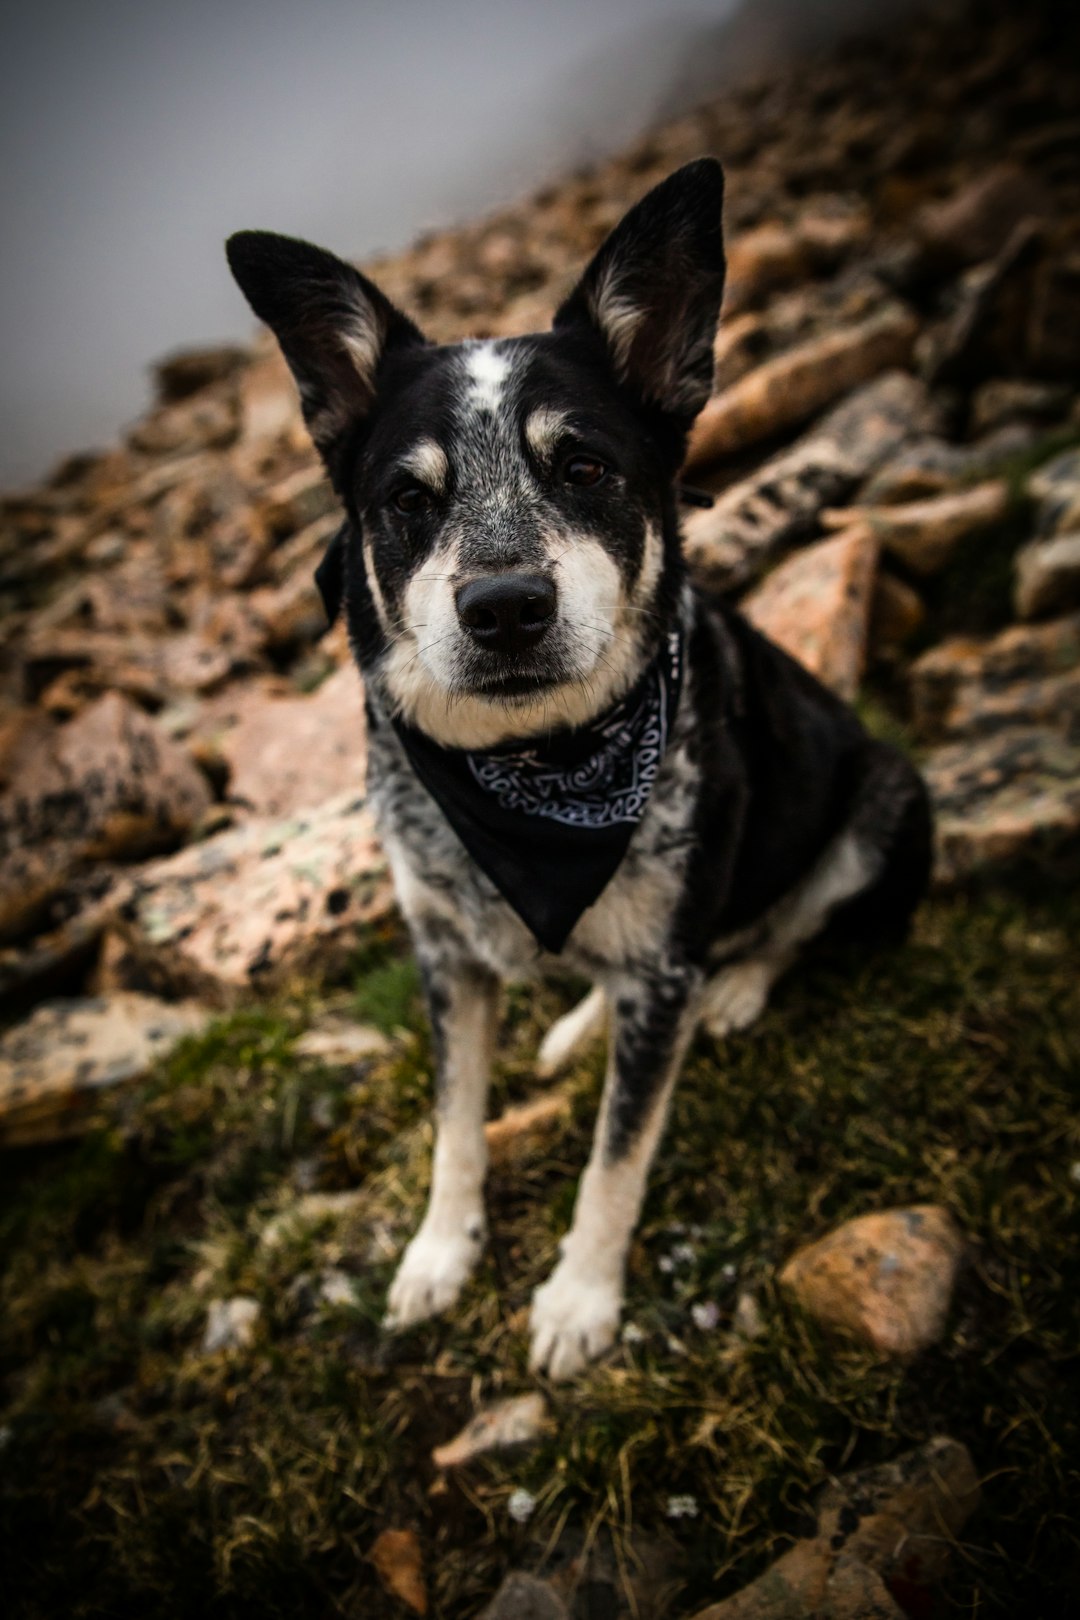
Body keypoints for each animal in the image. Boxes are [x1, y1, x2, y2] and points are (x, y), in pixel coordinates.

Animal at [226, 157, 932, 1380]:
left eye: (586, 467)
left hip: (889, 795)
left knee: (788, 925)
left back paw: (733, 990)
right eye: (408, 499)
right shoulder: (445, 956)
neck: (532, 770)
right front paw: (437, 1256)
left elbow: (617, 1158)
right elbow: (455, 1128)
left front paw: (579, 1301)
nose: (506, 607)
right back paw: (577, 1027)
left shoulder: (658, 962)